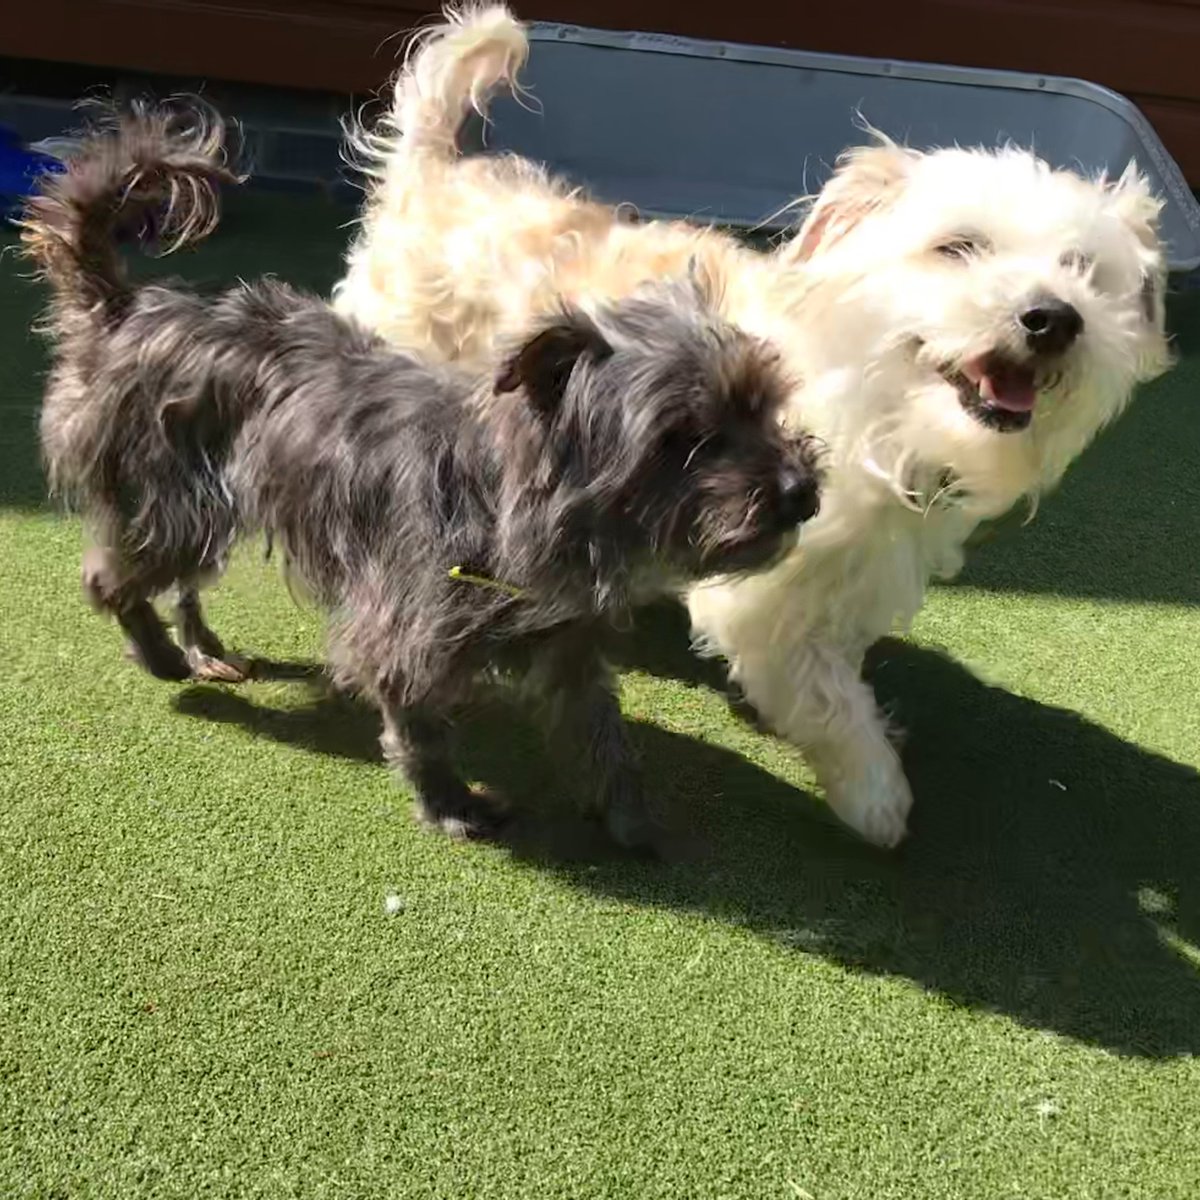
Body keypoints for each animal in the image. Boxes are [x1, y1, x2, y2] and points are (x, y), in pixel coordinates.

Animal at [21, 108, 825, 849]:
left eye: (764, 405)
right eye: (684, 437)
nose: (801, 492)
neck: (506, 496)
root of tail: (126, 309)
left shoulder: (566, 643)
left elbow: (601, 732)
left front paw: (627, 815)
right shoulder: (405, 633)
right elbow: (419, 727)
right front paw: (451, 804)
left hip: (207, 504)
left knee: (178, 581)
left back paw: (202, 648)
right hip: (171, 505)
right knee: (111, 576)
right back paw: (158, 654)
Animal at [338, 4, 1171, 849]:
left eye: (1085, 271)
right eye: (959, 247)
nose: (1053, 318)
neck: (877, 412)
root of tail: (432, 168)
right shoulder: (766, 590)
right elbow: (825, 695)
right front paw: (875, 794)